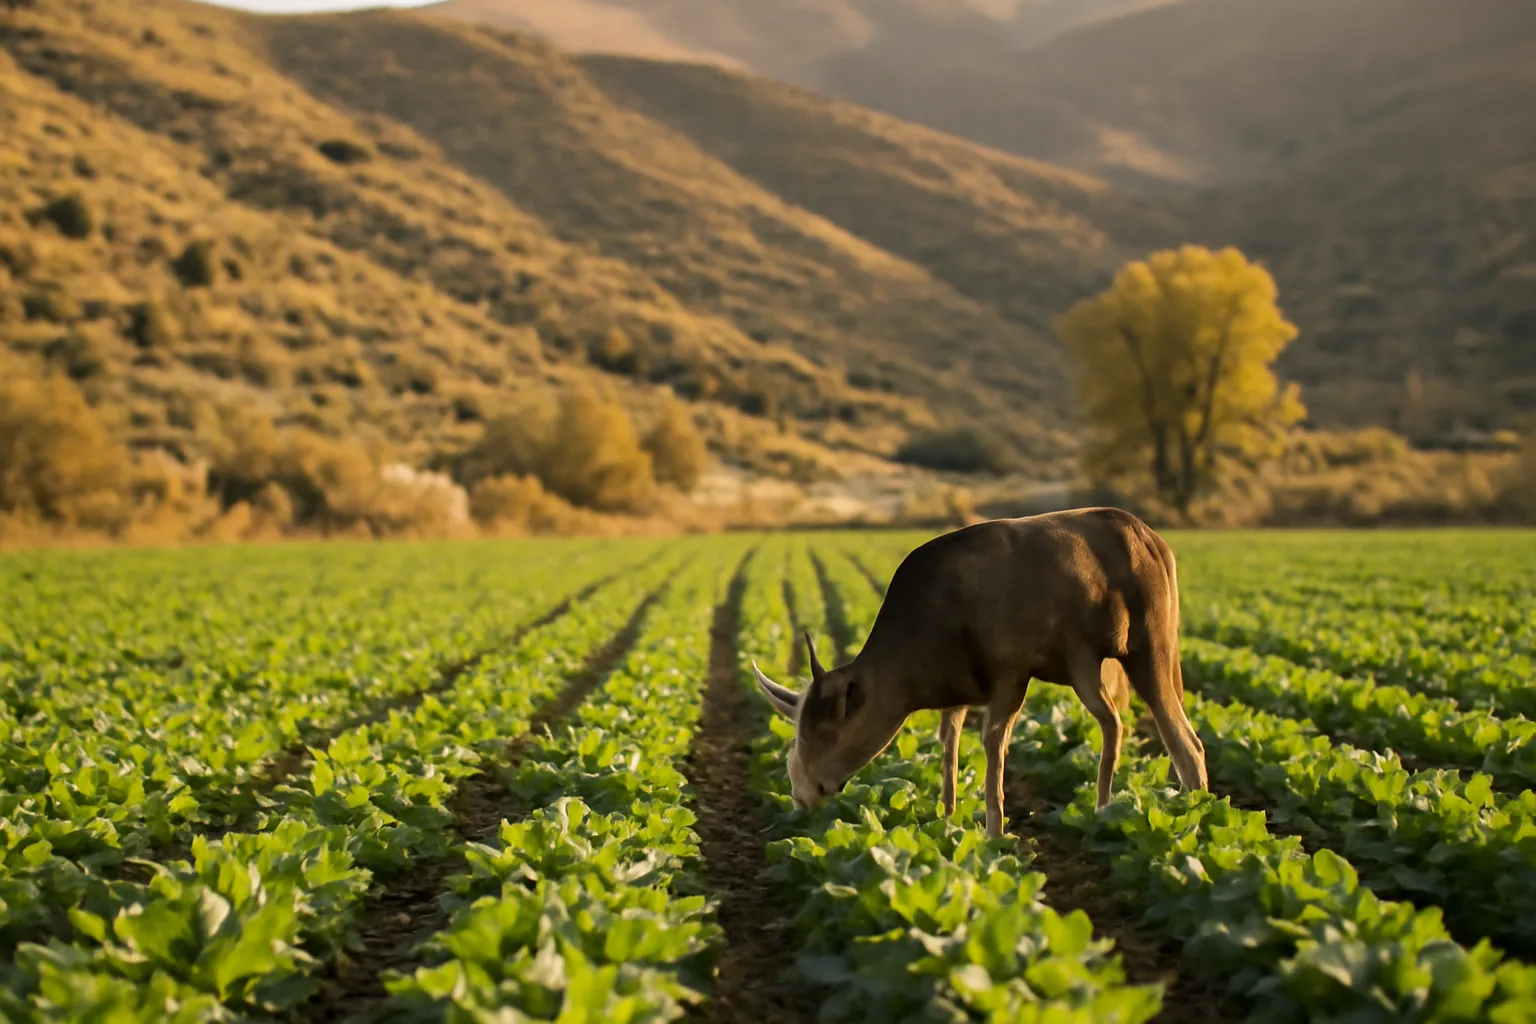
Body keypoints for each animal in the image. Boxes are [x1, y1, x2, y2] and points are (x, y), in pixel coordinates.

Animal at [752, 507, 1208, 837]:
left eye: (824, 730)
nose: (801, 794)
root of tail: (1152, 540)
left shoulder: (1011, 675)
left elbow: (993, 742)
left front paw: (993, 833)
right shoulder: (960, 688)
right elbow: (949, 739)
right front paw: (948, 816)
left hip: (1142, 649)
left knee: (1178, 740)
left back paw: (1187, 815)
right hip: (1096, 661)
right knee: (1124, 724)